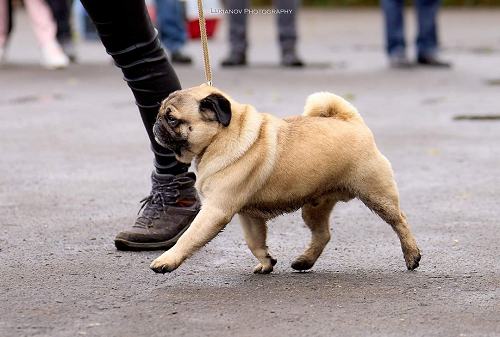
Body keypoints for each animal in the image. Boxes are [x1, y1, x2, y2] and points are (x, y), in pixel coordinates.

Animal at [149, 83, 422, 272]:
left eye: (172, 118)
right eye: (161, 114)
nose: (155, 122)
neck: (222, 136)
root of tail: (350, 121)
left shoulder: (216, 210)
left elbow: (189, 237)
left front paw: (166, 260)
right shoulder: (247, 214)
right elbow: (254, 241)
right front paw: (267, 262)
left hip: (376, 193)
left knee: (400, 220)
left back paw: (412, 256)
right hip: (314, 206)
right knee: (323, 234)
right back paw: (304, 261)